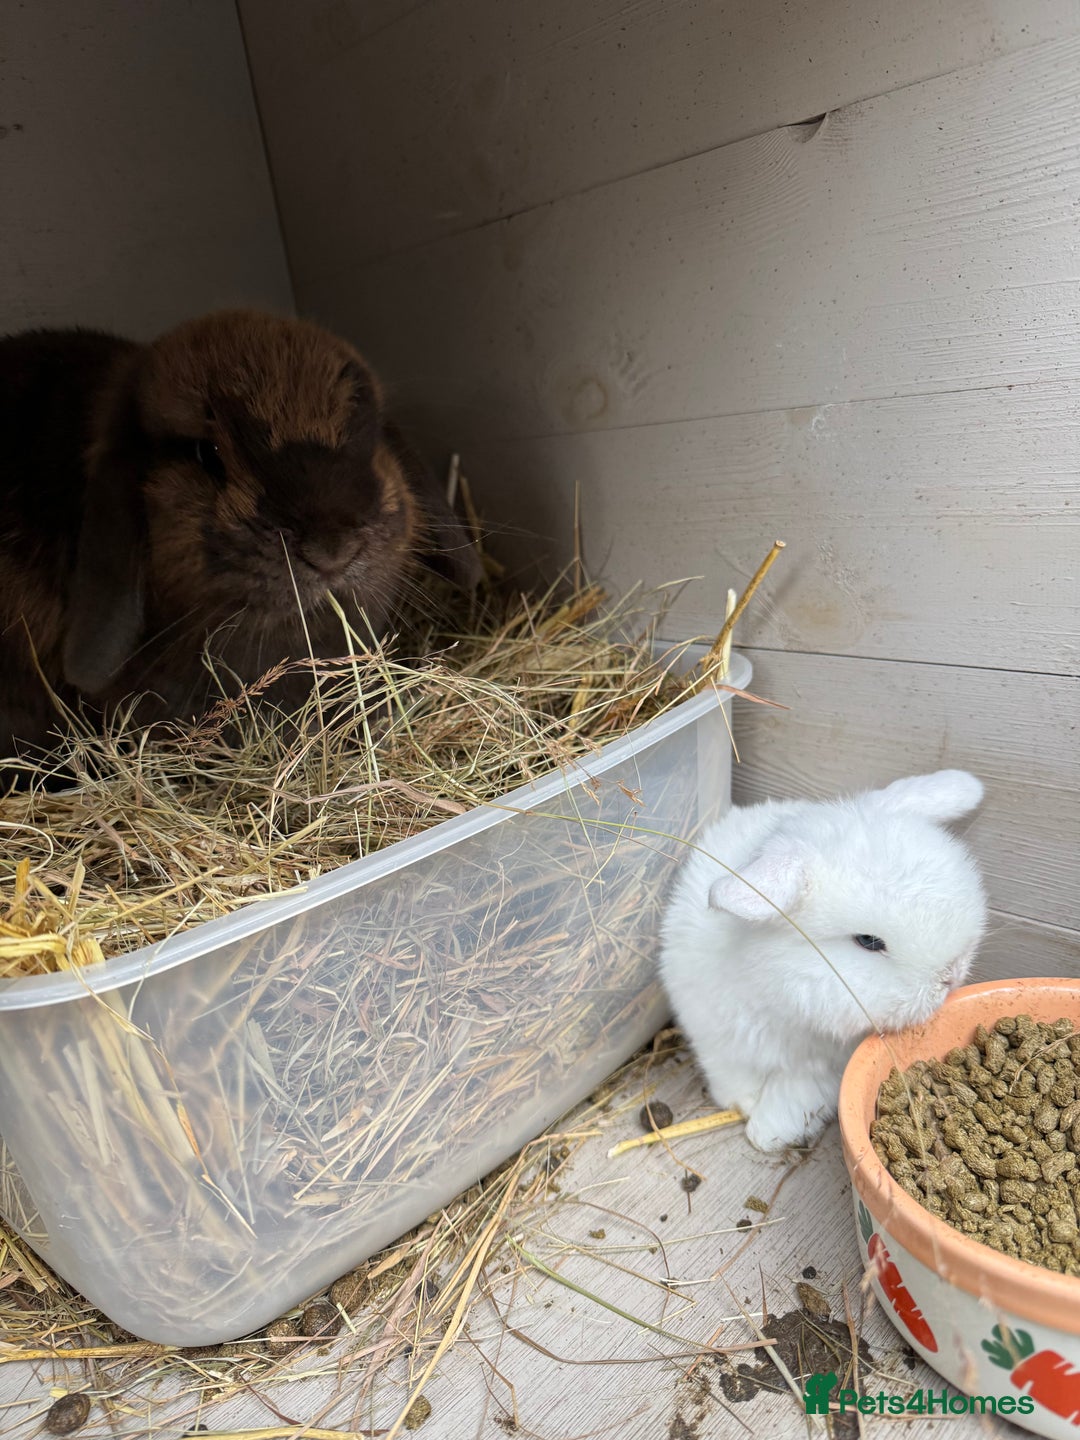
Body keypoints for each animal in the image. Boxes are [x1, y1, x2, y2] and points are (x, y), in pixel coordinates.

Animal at [658, 770, 988, 1152]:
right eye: (868, 941)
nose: (951, 975)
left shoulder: (823, 1068)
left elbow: (795, 1098)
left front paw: (768, 1132)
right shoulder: (723, 1041)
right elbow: (737, 1081)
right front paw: (747, 1110)